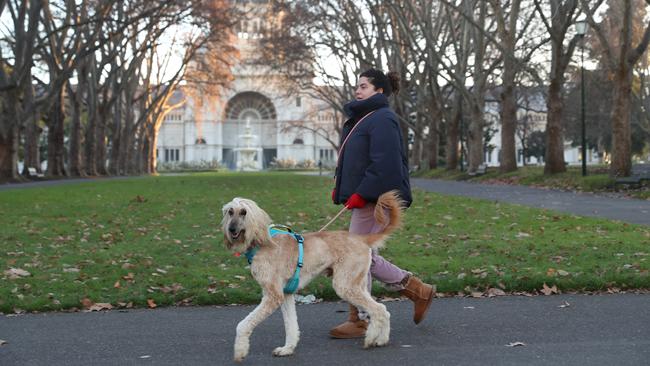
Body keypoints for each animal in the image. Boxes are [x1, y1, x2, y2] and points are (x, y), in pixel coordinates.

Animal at [224, 190, 404, 362]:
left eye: (244, 212)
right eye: (230, 212)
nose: (231, 230)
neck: (261, 243)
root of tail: (361, 238)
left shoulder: (273, 296)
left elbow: (242, 324)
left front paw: (240, 351)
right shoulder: (286, 294)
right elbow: (291, 325)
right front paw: (287, 349)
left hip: (345, 285)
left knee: (378, 309)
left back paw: (371, 338)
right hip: (357, 283)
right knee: (383, 310)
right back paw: (382, 339)